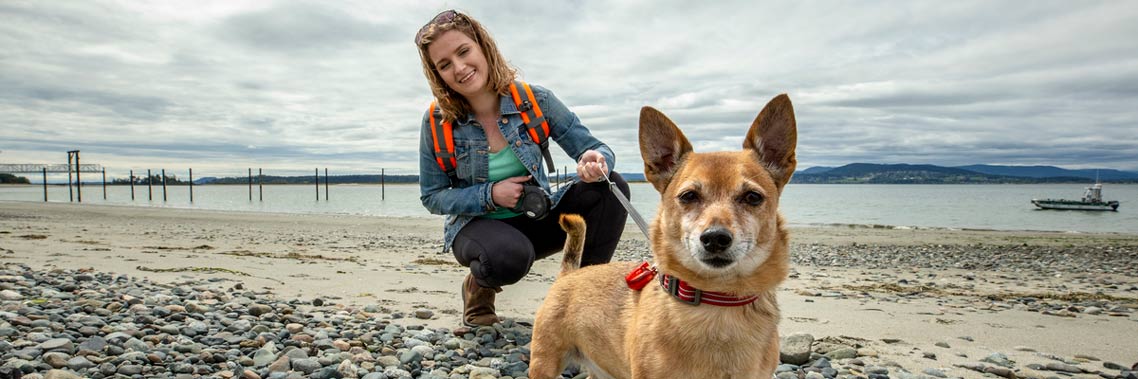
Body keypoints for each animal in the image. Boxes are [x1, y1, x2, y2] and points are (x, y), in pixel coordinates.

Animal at [528, 92, 796, 375]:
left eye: (753, 197)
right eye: (688, 196)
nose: (715, 237)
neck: (717, 298)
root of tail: (570, 274)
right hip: (544, 363)